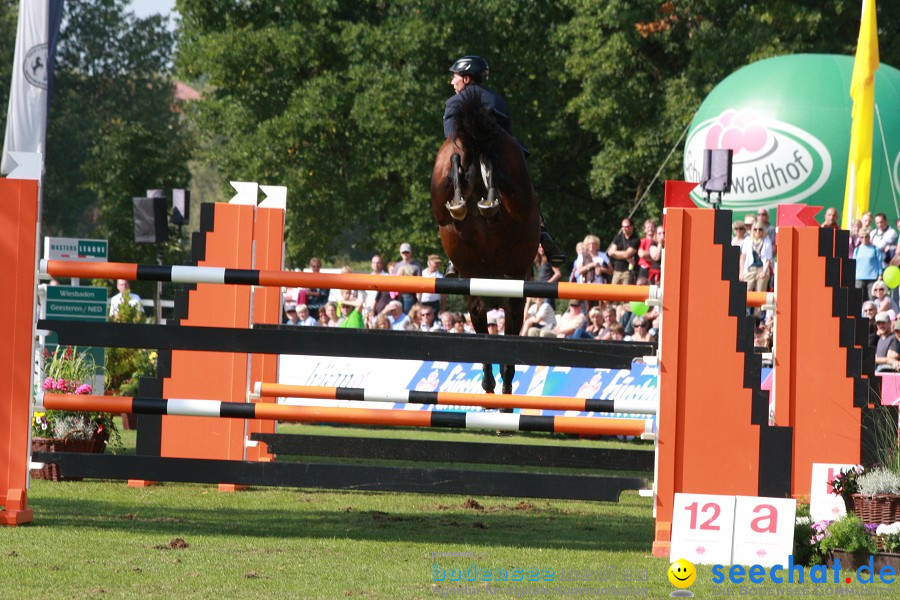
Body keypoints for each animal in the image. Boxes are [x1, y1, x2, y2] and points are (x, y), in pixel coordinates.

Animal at [430, 88, 540, 394]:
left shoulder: (495, 304)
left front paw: (498, 386)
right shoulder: (491, 304)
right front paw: (495, 385)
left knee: (464, 166)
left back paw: (469, 197)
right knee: (481, 165)